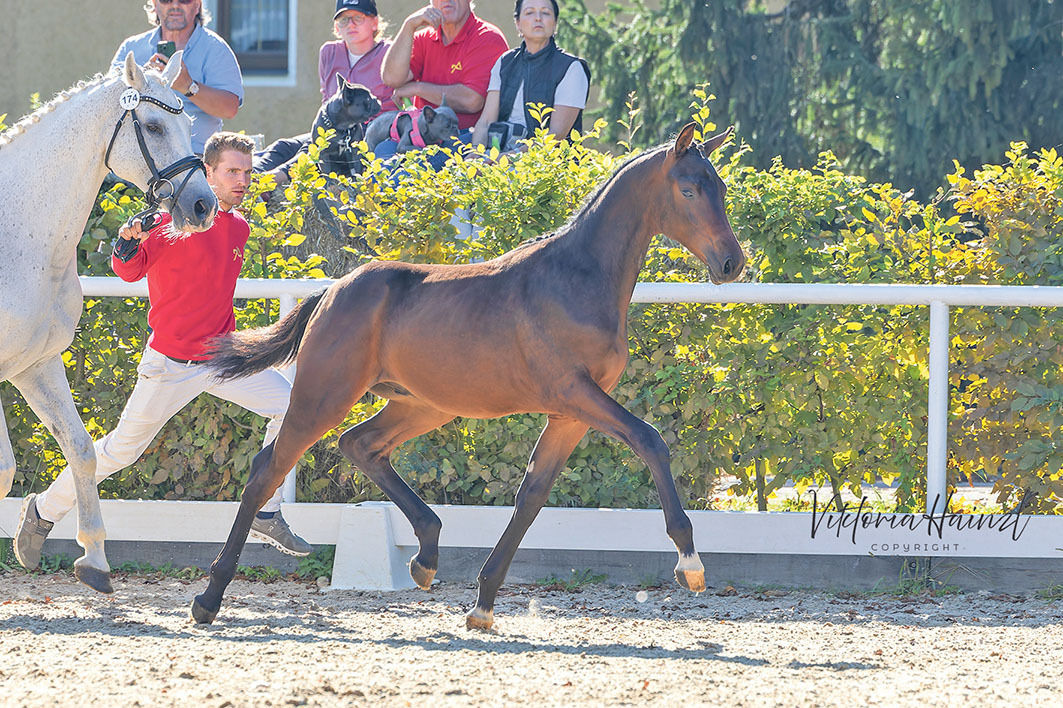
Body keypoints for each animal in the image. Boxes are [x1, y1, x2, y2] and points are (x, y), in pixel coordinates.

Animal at [0, 51, 217, 591]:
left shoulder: (34, 365)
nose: (203, 205)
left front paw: (94, 559)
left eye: (189, 125)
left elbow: (80, 449)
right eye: (154, 126)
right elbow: (6, 467)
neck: (16, 235)